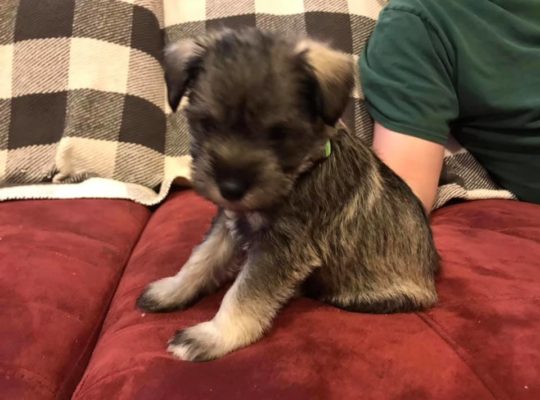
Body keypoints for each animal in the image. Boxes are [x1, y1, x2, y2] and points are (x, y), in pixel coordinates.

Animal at [137, 28, 439, 362]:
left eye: (279, 134)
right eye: (207, 123)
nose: (230, 188)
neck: (301, 172)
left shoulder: (282, 249)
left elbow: (242, 294)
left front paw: (213, 336)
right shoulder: (229, 223)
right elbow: (201, 258)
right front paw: (170, 290)